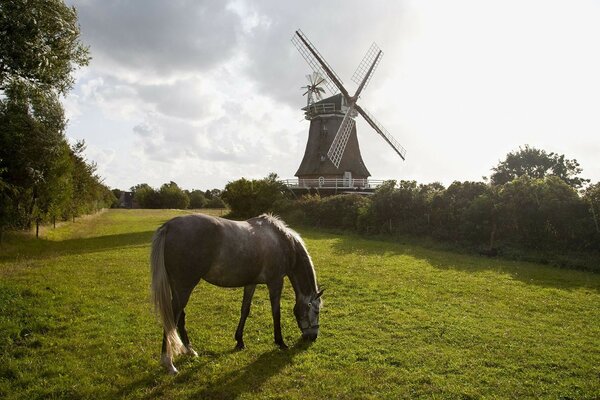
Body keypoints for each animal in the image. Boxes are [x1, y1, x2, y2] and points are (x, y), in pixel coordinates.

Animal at [149, 214, 324, 374]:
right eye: (316, 311)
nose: (313, 337)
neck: (282, 242)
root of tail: (169, 226)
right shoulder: (275, 283)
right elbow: (276, 313)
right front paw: (280, 342)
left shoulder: (251, 283)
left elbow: (245, 310)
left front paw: (239, 341)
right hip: (184, 287)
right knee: (172, 318)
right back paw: (169, 362)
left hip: (179, 289)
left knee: (180, 317)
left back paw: (190, 351)